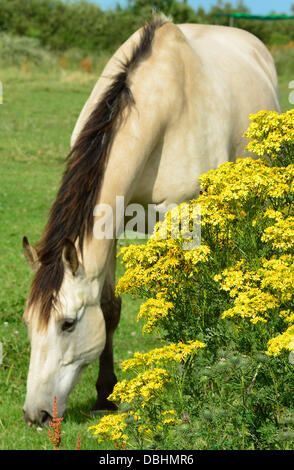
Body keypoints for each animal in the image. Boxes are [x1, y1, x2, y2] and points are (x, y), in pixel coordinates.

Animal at [21, 14, 280, 426]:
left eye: (67, 323)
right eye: (29, 323)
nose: (36, 414)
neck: (162, 105)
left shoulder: (188, 220)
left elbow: (189, 298)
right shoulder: (109, 226)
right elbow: (110, 307)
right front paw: (105, 395)